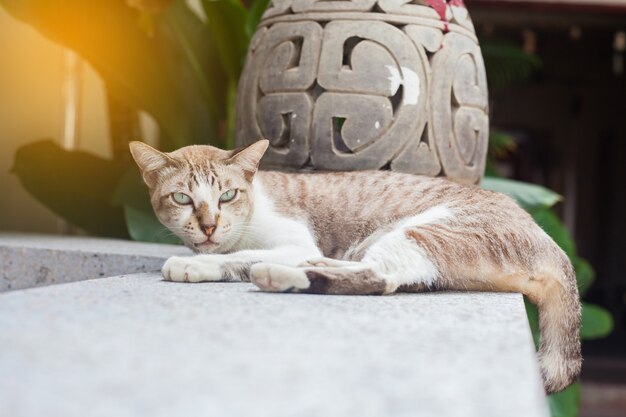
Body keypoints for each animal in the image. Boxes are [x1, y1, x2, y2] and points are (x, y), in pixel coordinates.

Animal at [129, 138, 584, 392]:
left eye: (226, 195)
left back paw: (281, 275)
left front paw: (192, 264)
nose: (208, 226)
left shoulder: (292, 240)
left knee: (379, 278)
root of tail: (549, 239)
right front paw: (200, 258)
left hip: (421, 233)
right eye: (182, 198)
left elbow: (237, 256)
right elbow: (226, 256)